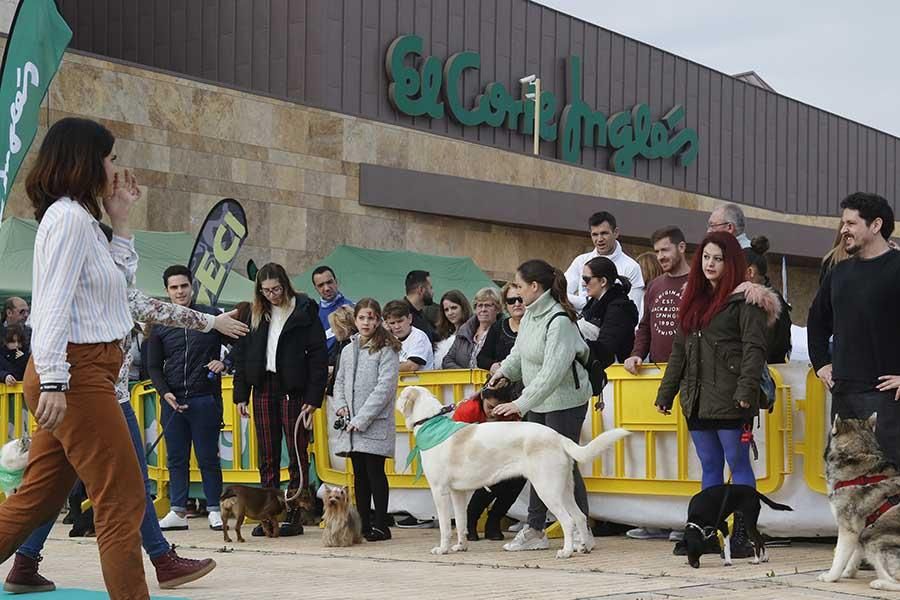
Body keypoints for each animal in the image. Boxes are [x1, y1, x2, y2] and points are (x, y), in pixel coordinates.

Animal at [398, 386, 628, 556]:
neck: (431, 424)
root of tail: (558, 436)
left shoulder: (440, 491)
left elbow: (446, 526)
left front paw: (443, 549)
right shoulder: (457, 493)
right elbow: (461, 522)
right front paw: (461, 546)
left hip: (547, 490)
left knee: (568, 520)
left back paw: (566, 551)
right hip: (563, 489)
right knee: (579, 516)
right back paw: (583, 547)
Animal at [820, 412, 900, 592]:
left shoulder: (848, 528)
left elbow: (839, 556)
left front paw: (831, 576)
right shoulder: (858, 528)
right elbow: (854, 555)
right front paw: (848, 573)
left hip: (877, 542)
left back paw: (880, 583)